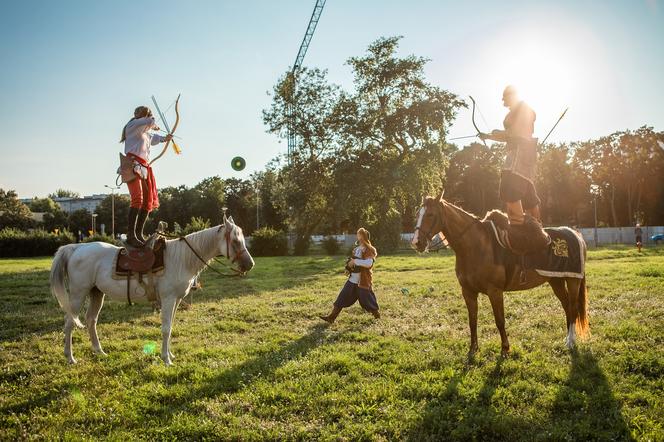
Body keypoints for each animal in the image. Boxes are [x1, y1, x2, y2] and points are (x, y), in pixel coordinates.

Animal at [50, 216, 254, 364]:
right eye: (235, 240)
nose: (249, 264)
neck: (180, 259)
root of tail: (76, 248)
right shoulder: (169, 299)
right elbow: (165, 329)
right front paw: (166, 360)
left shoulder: (176, 300)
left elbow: (170, 327)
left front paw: (170, 355)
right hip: (78, 294)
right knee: (69, 322)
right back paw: (70, 358)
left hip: (96, 293)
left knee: (91, 320)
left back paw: (100, 352)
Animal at [412, 193, 588, 356]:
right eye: (418, 214)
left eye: (430, 214)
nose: (416, 243)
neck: (476, 246)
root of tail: (576, 234)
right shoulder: (468, 292)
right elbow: (472, 321)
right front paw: (473, 349)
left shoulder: (495, 291)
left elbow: (500, 321)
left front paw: (505, 349)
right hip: (556, 280)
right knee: (566, 306)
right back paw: (567, 339)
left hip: (573, 281)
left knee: (572, 307)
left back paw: (571, 341)